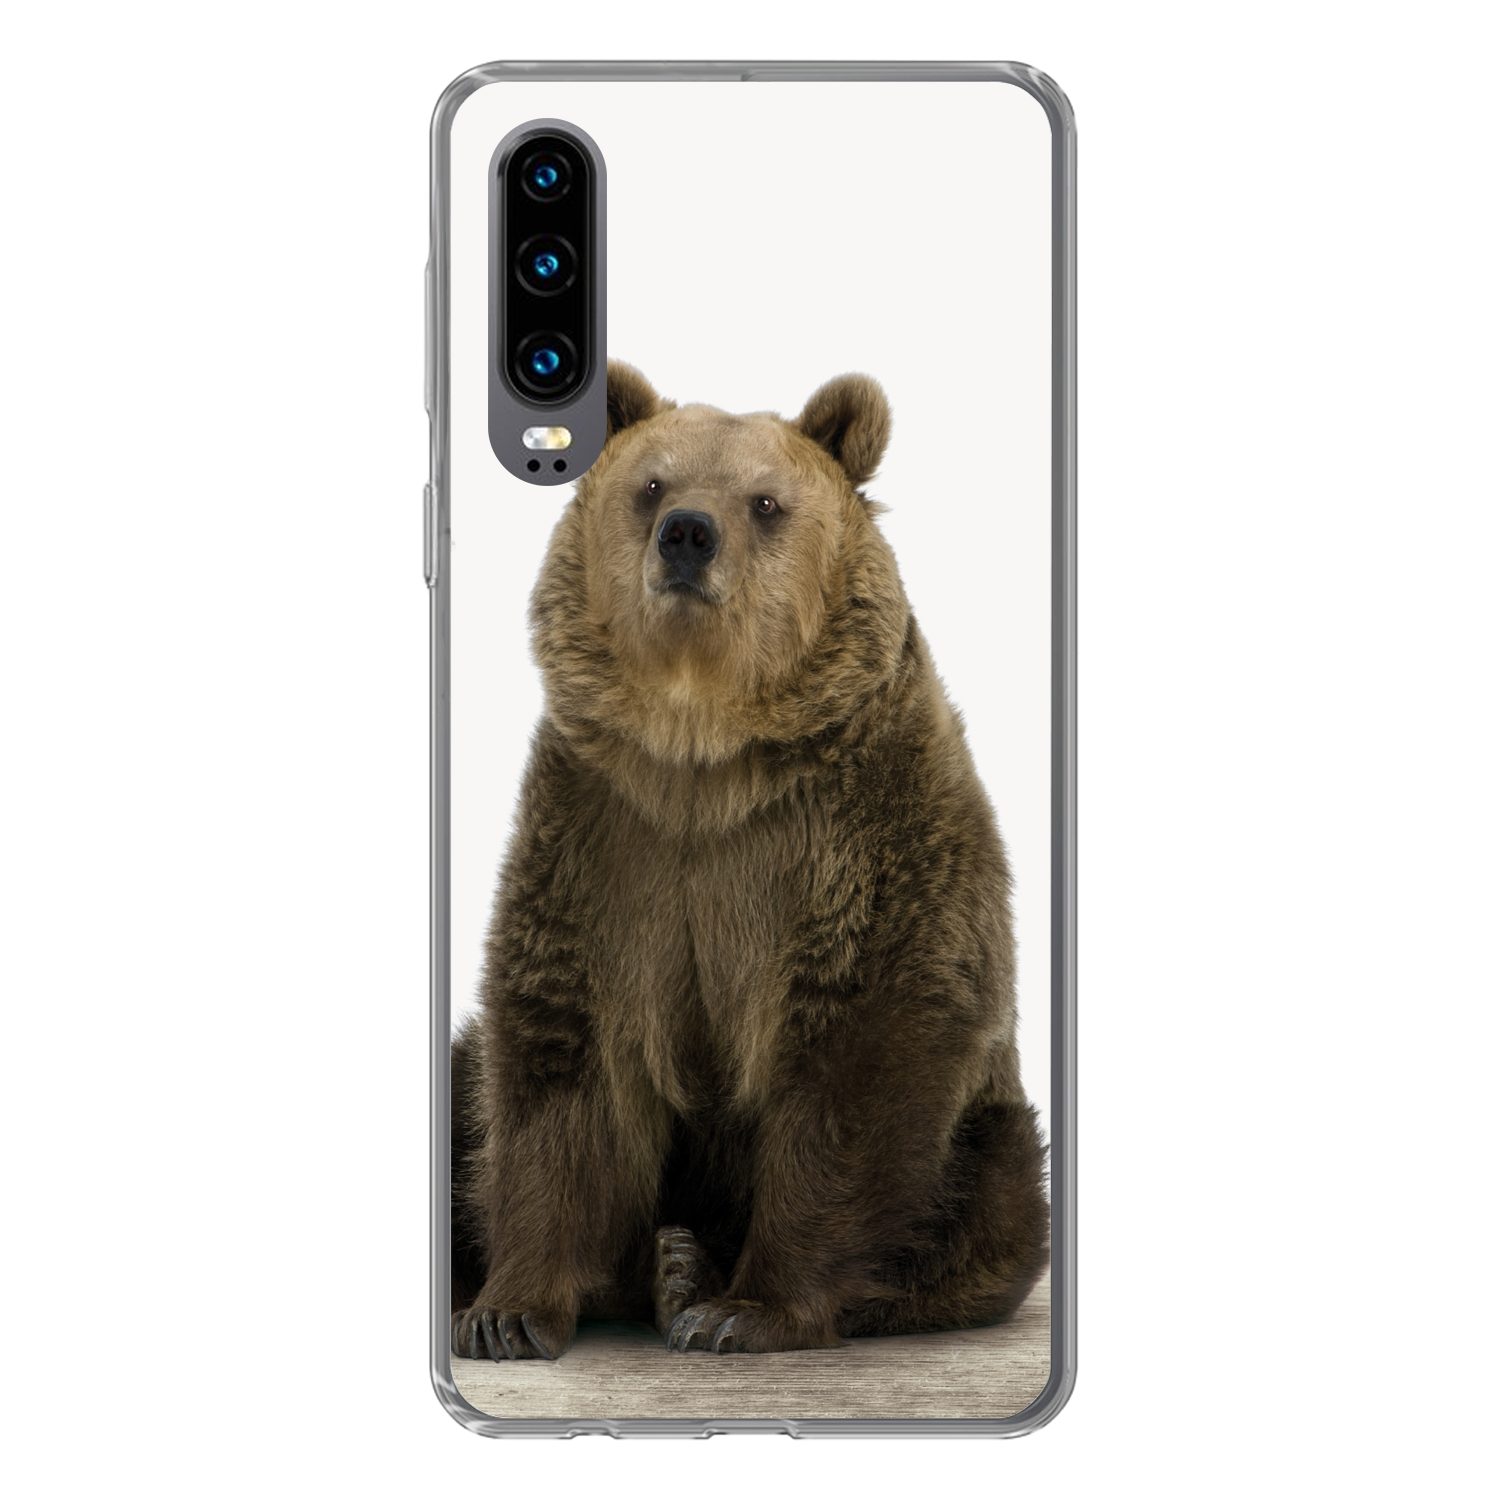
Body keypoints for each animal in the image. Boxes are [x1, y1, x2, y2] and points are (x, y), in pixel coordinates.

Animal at [450, 363, 1049, 1360]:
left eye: (765, 501)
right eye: (652, 483)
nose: (688, 534)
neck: (705, 754)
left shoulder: (859, 831)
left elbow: (861, 1053)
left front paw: (747, 1308)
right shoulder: (604, 836)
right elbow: (559, 1054)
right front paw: (506, 1312)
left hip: (987, 1137)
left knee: (988, 1200)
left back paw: (701, 1274)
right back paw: (660, 1266)